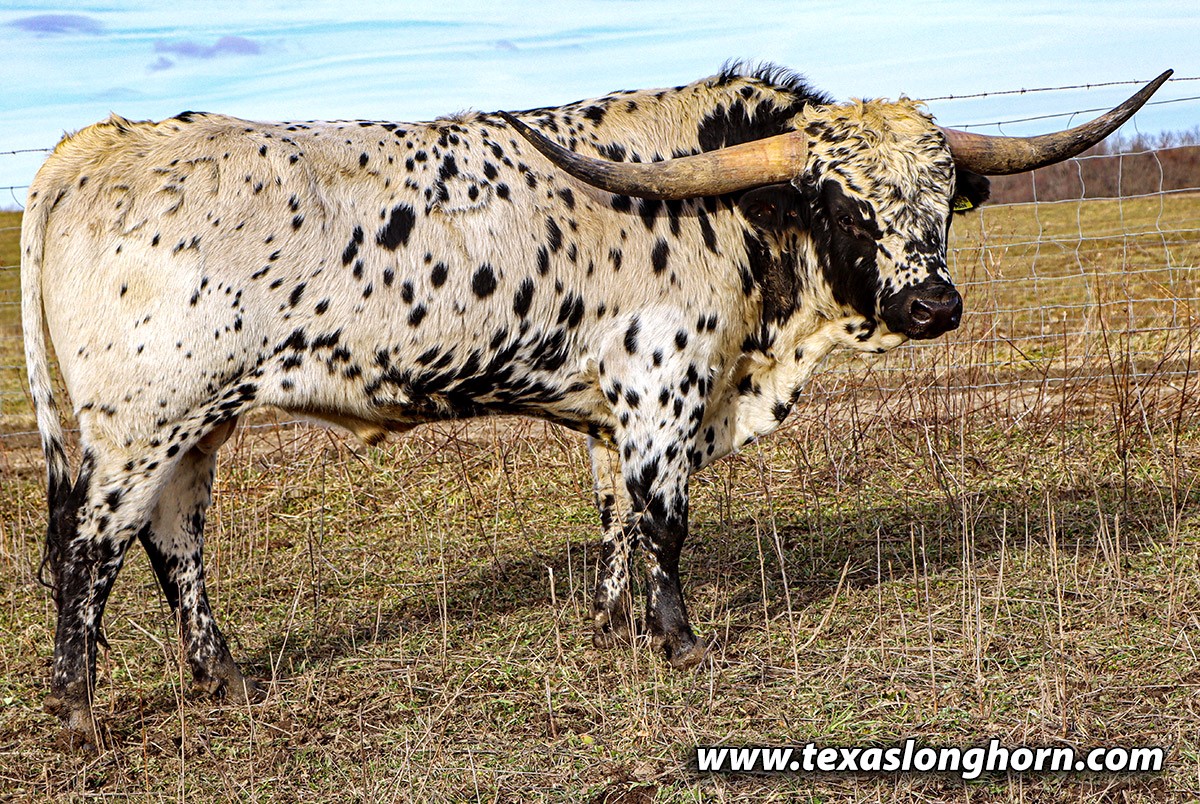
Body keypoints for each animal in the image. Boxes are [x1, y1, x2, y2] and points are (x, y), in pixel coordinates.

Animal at [21, 62, 1169, 736]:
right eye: (840, 202)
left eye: (942, 202)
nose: (933, 303)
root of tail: (97, 143)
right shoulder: (665, 391)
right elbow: (665, 521)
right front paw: (680, 640)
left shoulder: (614, 413)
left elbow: (615, 515)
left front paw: (614, 623)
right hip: (144, 423)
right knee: (88, 548)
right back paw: (78, 709)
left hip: (199, 423)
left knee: (175, 542)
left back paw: (220, 677)